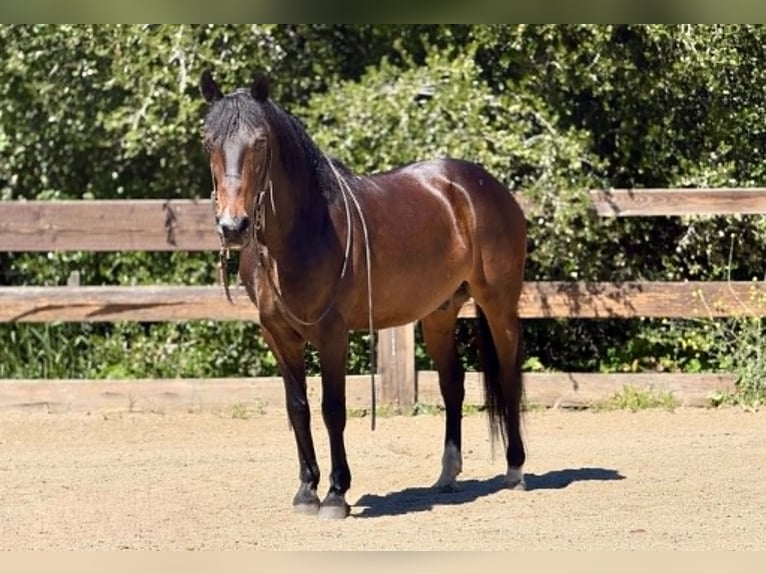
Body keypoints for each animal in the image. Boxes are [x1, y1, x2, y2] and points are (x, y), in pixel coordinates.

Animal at [199, 69, 528, 519]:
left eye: (260, 141)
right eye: (208, 141)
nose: (233, 226)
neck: (304, 231)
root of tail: (484, 187)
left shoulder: (332, 334)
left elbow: (332, 410)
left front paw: (336, 494)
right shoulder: (279, 336)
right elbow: (298, 409)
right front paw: (306, 491)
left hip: (499, 305)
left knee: (509, 374)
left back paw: (515, 469)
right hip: (439, 314)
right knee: (452, 385)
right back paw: (446, 476)